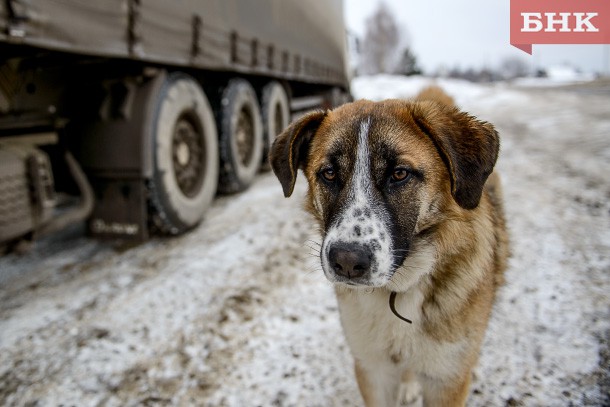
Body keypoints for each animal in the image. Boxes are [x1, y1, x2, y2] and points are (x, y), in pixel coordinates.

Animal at [268, 87, 506, 407]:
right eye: (329, 173)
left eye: (399, 174)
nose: (347, 261)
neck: (399, 291)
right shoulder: (373, 369)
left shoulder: (445, 380)